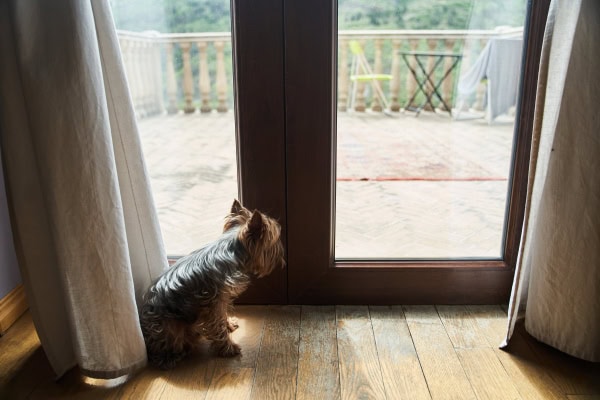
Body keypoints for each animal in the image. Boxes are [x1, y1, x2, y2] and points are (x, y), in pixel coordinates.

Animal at [139, 199, 284, 368]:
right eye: (274, 241)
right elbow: (217, 322)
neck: (231, 250)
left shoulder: (221, 297)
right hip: (171, 325)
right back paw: (174, 354)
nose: (281, 255)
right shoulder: (214, 301)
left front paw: (229, 325)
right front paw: (228, 348)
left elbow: (223, 315)